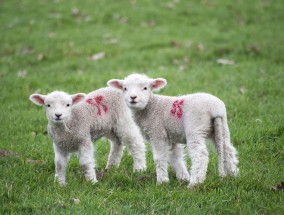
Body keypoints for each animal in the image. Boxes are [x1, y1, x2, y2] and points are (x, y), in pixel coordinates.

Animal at [107, 74, 239, 188]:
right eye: (125, 88)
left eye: (145, 88)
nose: (133, 98)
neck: (151, 107)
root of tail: (215, 109)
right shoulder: (172, 137)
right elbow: (175, 157)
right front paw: (183, 177)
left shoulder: (158, 133)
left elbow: (159, 157)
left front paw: (162, 181)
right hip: (222, 128)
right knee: (227, 150)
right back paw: (234, 175)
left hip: (195, 128)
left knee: (200, 155)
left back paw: (195, 183)